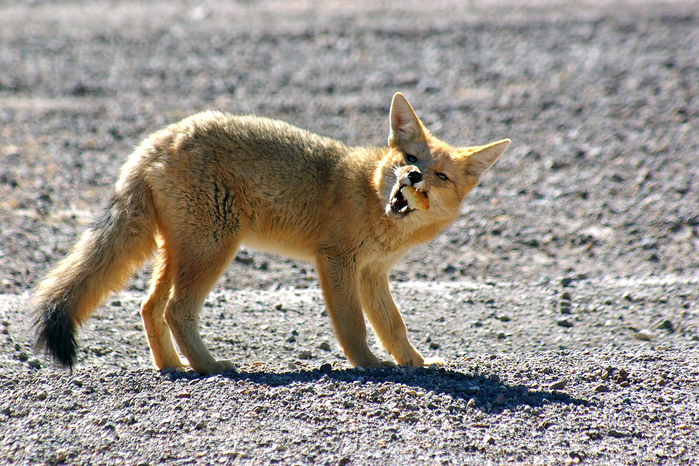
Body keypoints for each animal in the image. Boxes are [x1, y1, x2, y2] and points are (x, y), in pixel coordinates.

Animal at [32, 93, 512, 374]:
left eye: (441, 176)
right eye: (410, 158)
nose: (412, 177)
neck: (374, 203)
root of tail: (159, 138)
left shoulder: (373, 273)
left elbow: (393, 325)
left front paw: (415, 362)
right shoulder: (336, 262)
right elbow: (354, 326)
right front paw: (370, 366)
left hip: (183, 250)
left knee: (150, 308)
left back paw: (173, 367)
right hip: (213, 249)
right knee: (174, 311)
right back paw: (211, 367)